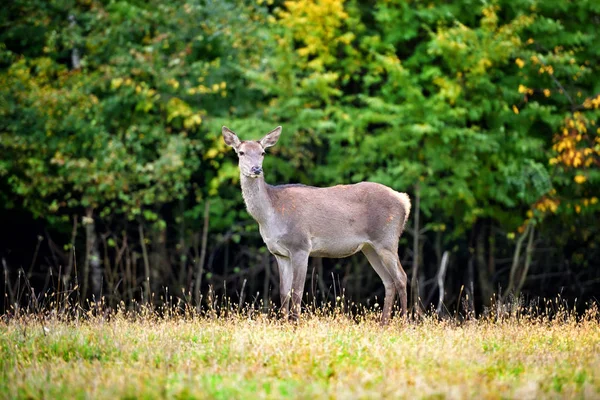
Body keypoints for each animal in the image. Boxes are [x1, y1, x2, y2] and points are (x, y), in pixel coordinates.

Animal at [223, 126, 410, 324]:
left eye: (263, 152)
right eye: (241, 152)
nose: (256, 168)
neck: (270, 216)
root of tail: (404, 201)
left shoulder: (301, 246)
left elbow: (297, 292)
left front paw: (295, 324)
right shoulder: (279, 254)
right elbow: (283, 293)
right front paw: (284, 324)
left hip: (387, 239)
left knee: (401, 277)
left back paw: (405, 322)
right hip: (370, 247)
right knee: (388, 281)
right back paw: (384, 324)